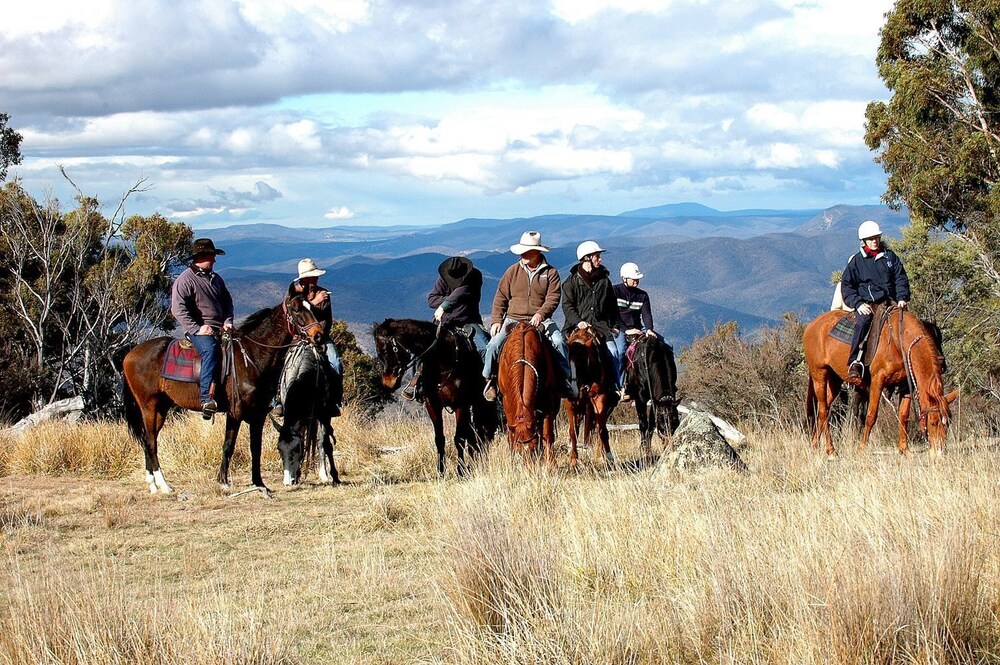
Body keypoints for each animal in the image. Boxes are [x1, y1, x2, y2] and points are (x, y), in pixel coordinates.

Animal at [276, 340, 342, 486]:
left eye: (296, 449)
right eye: (279, 449)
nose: (288, 482)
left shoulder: (324, 415)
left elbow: (325, 444)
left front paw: (334, 476)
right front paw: (298, 474)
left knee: (321, 441)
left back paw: (324, 474)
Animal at [374, 320, 498, 474]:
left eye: (385, 351)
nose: (387, 383)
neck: (442, 361)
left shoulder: (461, 405)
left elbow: (459, 438)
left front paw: (460, 470)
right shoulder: (432, 404)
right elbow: (439, 438)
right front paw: (440, 470)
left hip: (480, 404)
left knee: (482, 432)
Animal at [494, 320, 564, 464]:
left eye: (533, 450)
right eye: (519, 451)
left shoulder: (548, 401)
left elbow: (547, 433)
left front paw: (550, 463)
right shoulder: (506, 400)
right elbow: (511, 434)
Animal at [568, 326, 620, 466]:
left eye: (582, 362)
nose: (572, 390)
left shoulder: (599, 398)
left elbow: (602, 430)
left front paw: (608, 457)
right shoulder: (570, 403)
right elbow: (573, 432)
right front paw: (573, 460)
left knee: (599, 428)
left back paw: (601, 455)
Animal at [800, 308, 956, 456]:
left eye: (948, 422)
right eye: (933, 422)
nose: (939, 451)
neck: (898, 341)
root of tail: (812, 325)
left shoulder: (905, 386)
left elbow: (903, 415)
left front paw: (904, 449)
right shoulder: (877, 382)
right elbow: (870, 416)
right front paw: (862, 448)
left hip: (834, 381)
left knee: (824, 409)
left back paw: (815, 444)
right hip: (819, 374)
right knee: (823, 411)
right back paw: (831, 450)